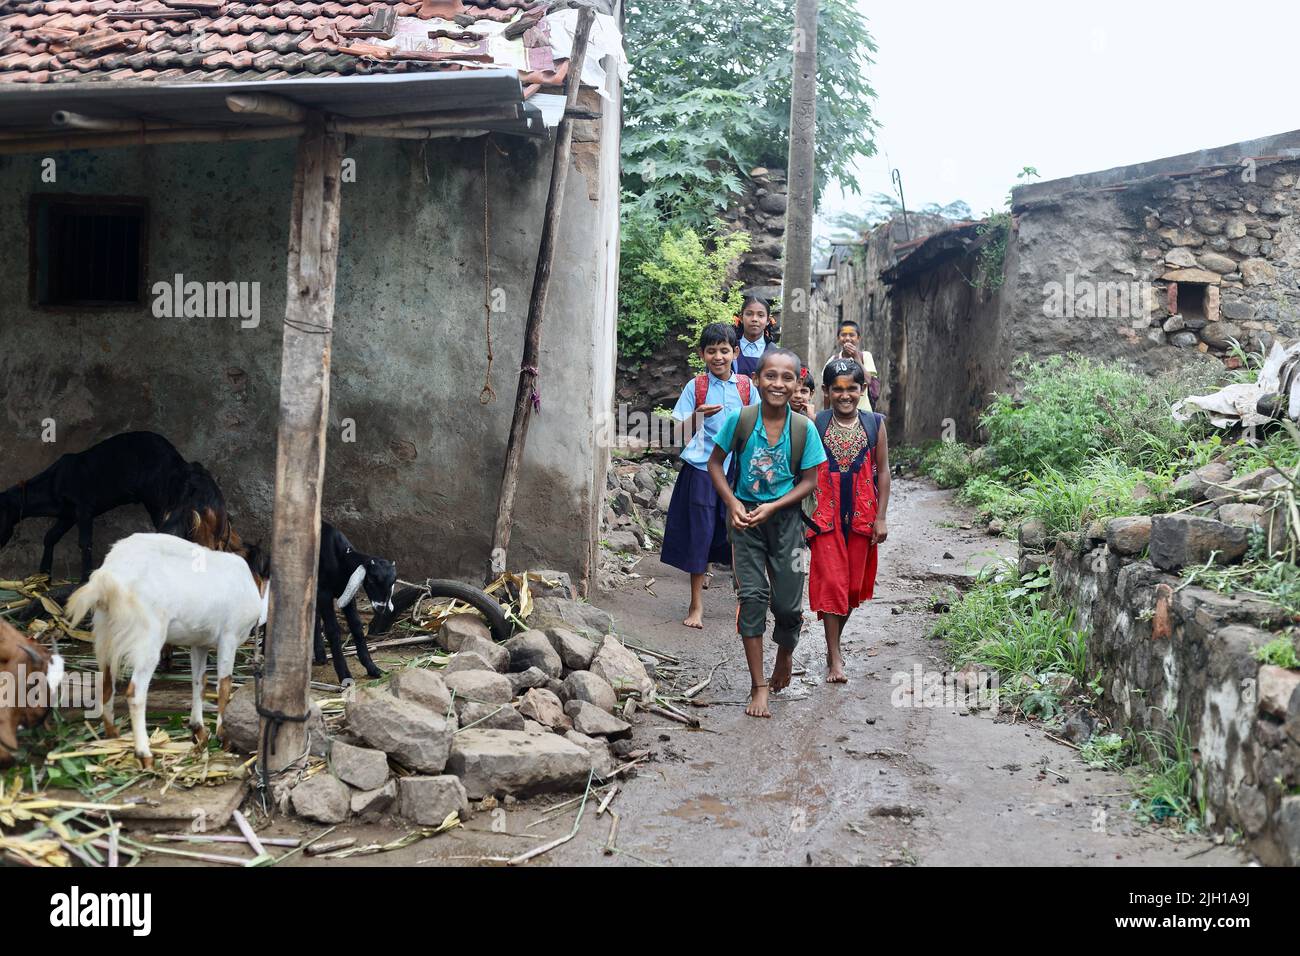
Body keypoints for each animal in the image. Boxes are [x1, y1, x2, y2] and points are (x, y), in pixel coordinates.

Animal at [64, 535, 267, 764]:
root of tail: (107, 577)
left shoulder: (200, 643)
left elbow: (199, 682)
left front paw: (198, 730)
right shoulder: (228, 637)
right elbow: (224, 686)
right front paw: (224, 737)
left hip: (104, 634)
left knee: (106, 684)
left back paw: (112, 737)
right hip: (147, 637)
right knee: (135, 692)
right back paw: (144, 754)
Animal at [314, 522, 395, 686]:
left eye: (392, 583)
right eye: (370, 580)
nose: (381, 607)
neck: (340, 560)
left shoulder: (347, 593)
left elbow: (356, 625)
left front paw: (372, 667)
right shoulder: (324, 593)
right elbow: (332, 630)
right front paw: (344, 675)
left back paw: (320, 655)